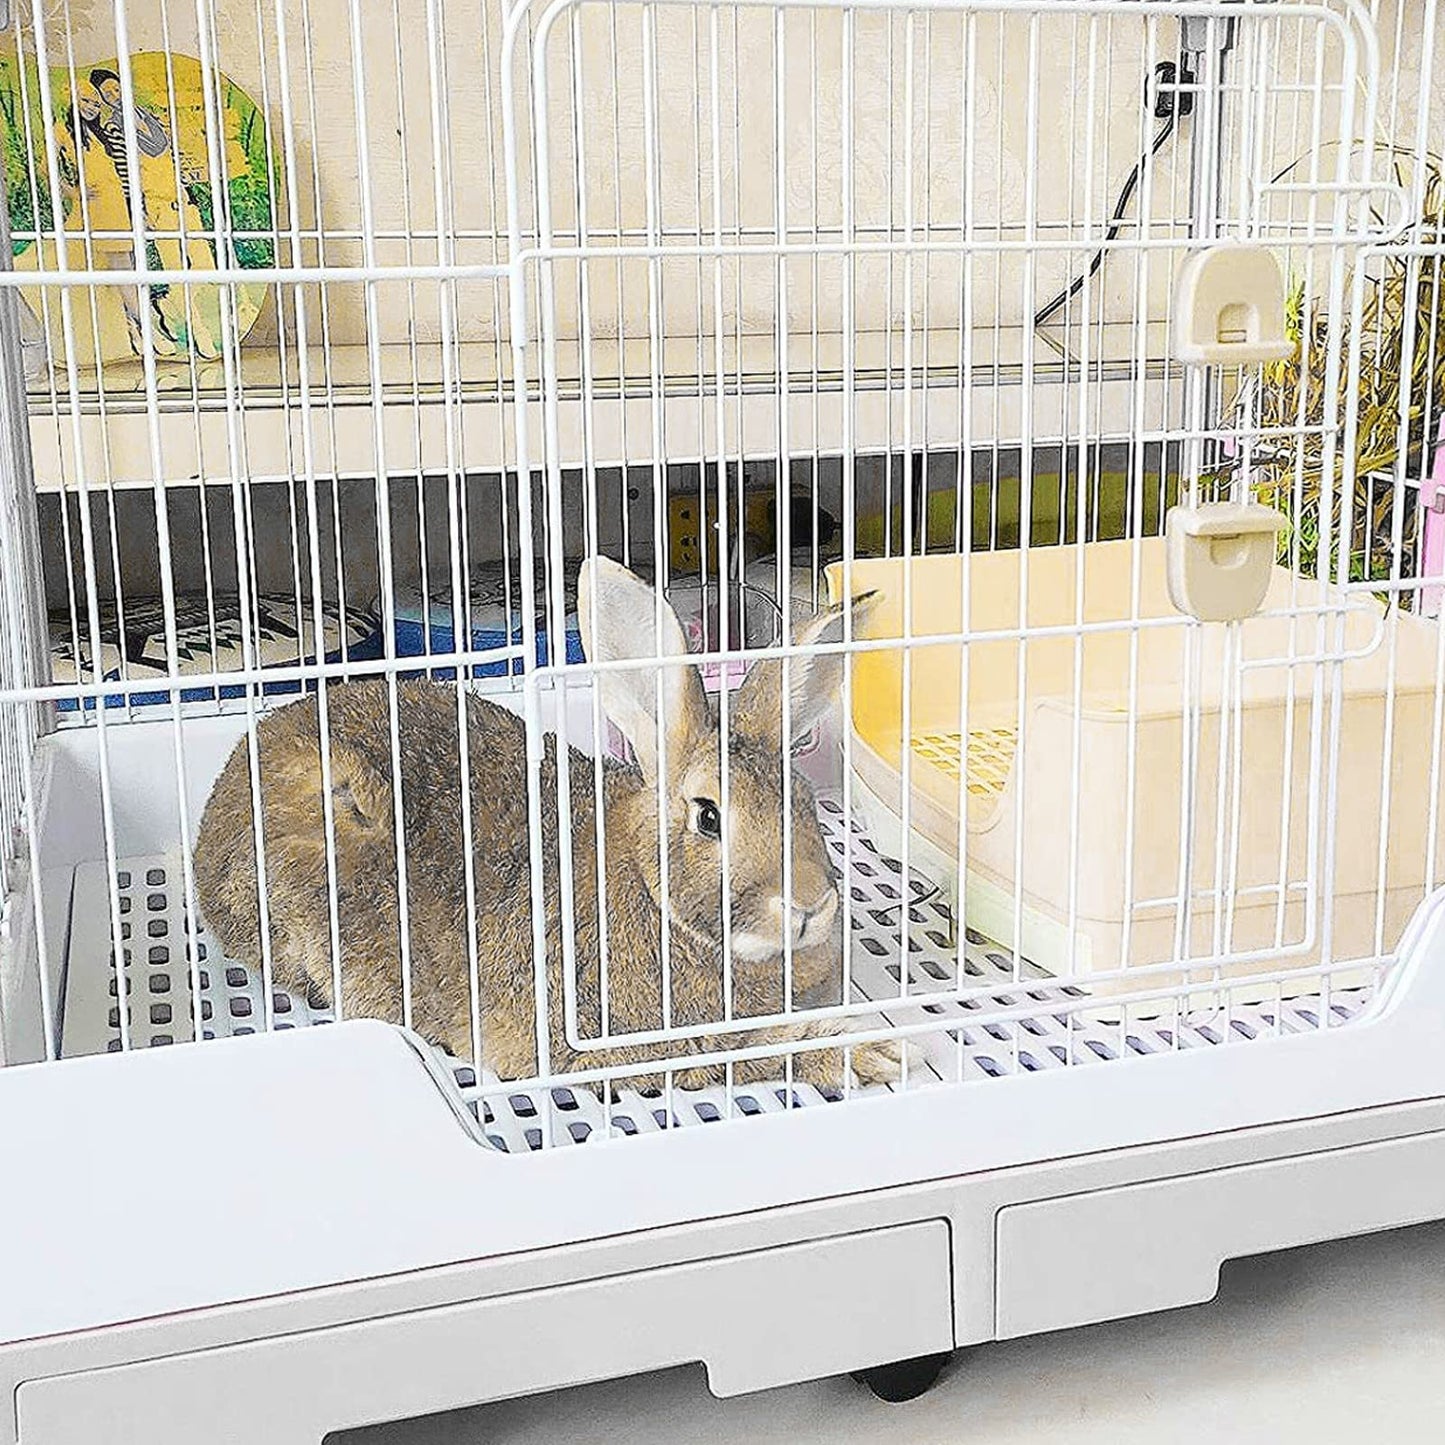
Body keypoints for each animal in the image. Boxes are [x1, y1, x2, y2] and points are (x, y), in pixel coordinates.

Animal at [192, 556, 901, 1092]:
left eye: (804, 800)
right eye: (708, 817)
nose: (809, 904)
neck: (649, 886)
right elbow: (742, 1052)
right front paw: (874, 1053)